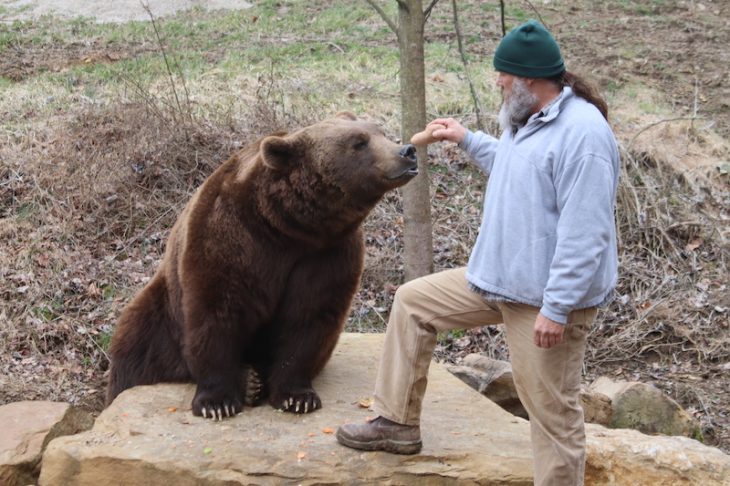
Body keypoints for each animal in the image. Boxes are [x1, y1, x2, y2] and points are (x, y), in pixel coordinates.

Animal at [105, 112, 418, 420]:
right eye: (359, 142)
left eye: (380, 131)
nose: (407, 151)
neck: (289, 226)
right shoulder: (231, 234)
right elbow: (217, 311)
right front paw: (217, 402)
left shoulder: (327, 253)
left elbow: (309, 316)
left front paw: (297, 397)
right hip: (160, 317)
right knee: (138, 349)